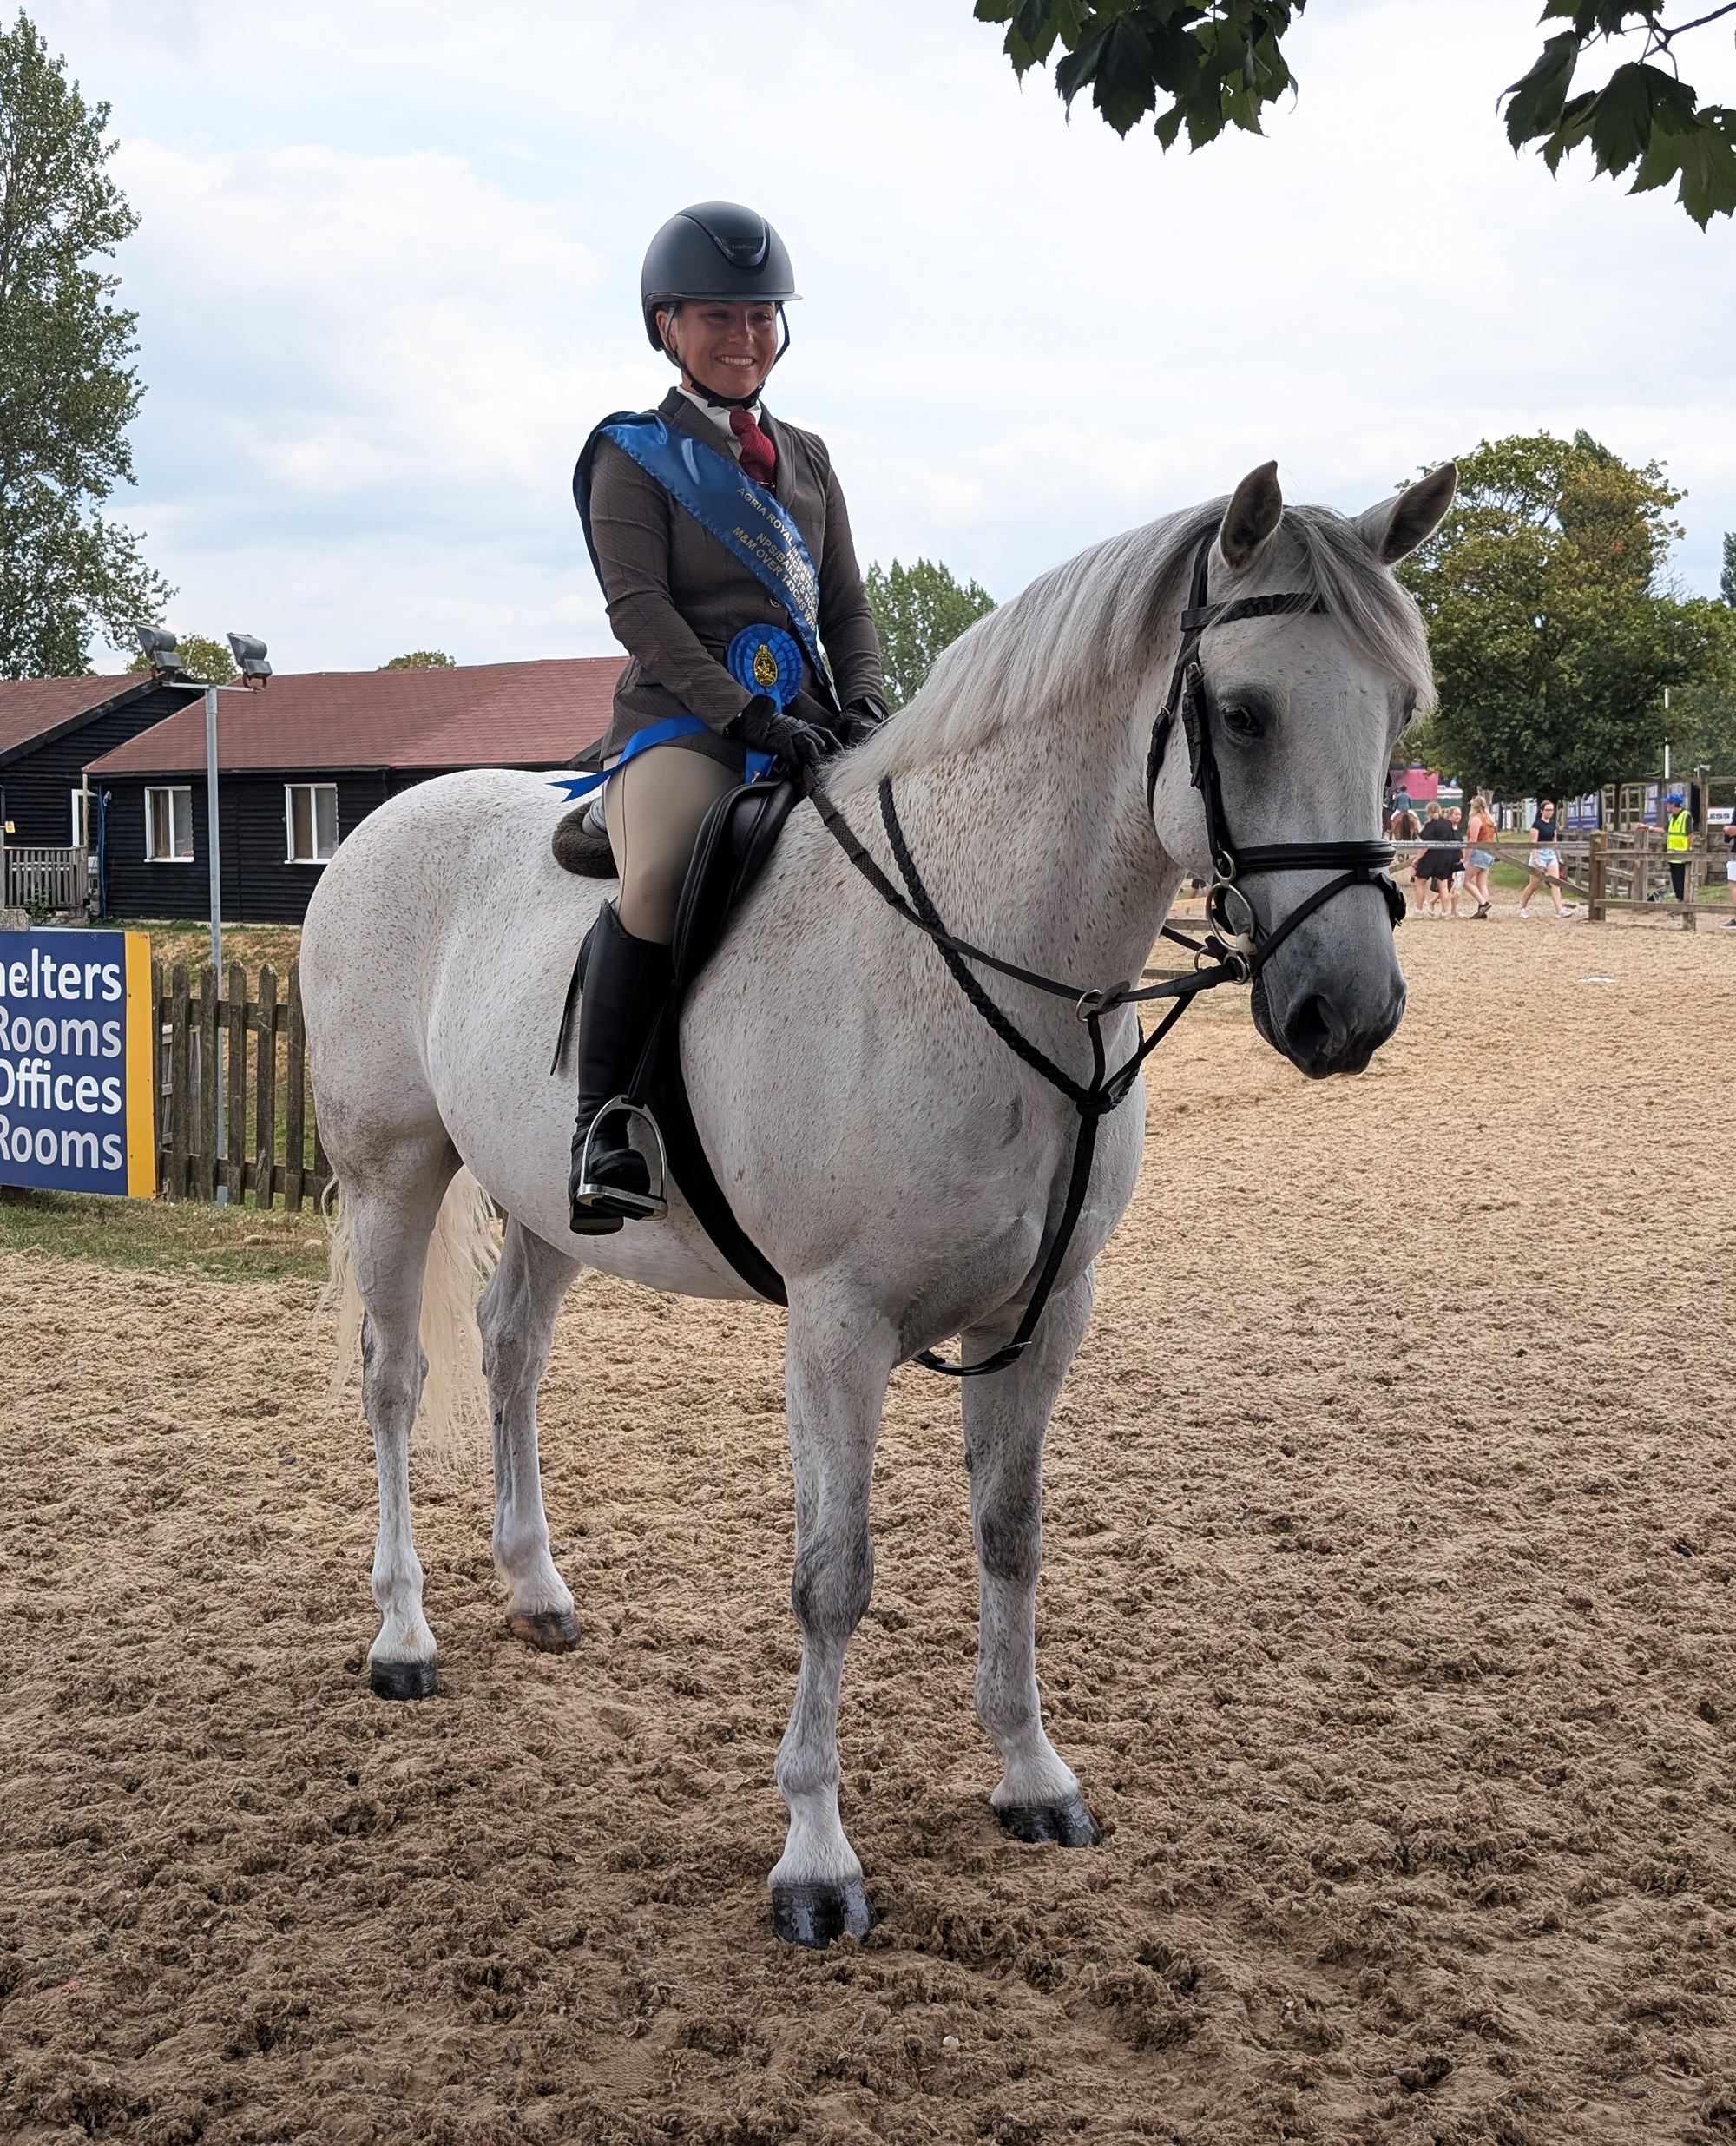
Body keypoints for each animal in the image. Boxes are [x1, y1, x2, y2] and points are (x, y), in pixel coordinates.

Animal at [302, 458, 1456, 1947]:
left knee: (511, 1354)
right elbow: (832, 1575)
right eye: (1245, 713)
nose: (1348, 1011)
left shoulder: (1043, 1314)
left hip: (553, 1206)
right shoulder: (837, 1326)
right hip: (392, 1171)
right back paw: (402, 1634)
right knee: (396, 1381)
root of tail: (381, 824)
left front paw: (1032, 1776)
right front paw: (815, 1858)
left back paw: (537, 1588)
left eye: (1401, 713)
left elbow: (1011, 1537)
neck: (982, 954)